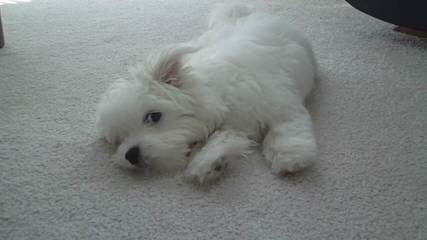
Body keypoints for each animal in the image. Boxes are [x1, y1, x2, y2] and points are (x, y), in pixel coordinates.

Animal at [96, 2, 318, 183]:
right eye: (119, 139)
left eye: (154, 116)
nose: (131, 155)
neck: (217, 93)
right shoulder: (233, 126)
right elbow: (221, 140)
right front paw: (209, 165)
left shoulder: (280, 105)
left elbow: (287, 128)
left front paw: (290, 157)